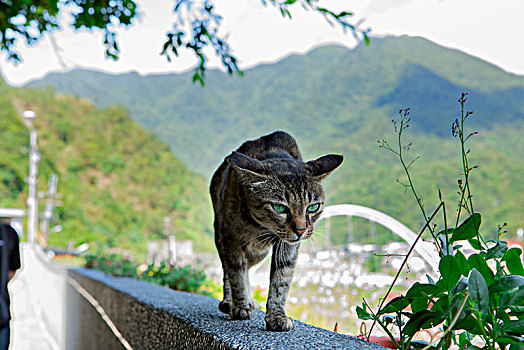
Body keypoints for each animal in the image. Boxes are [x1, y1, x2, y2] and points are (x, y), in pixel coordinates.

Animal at [211, 131, 342, 330]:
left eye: (312, 208)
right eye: (279, 208)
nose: (301, 230)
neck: (258, 227)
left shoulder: (287, 246)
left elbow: (281, 280)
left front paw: (276, 317)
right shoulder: (230, 237)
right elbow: (237, 275)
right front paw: (240, 306)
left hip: (258, 253)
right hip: (223, 237)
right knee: (229, 269)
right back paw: (230, 301)